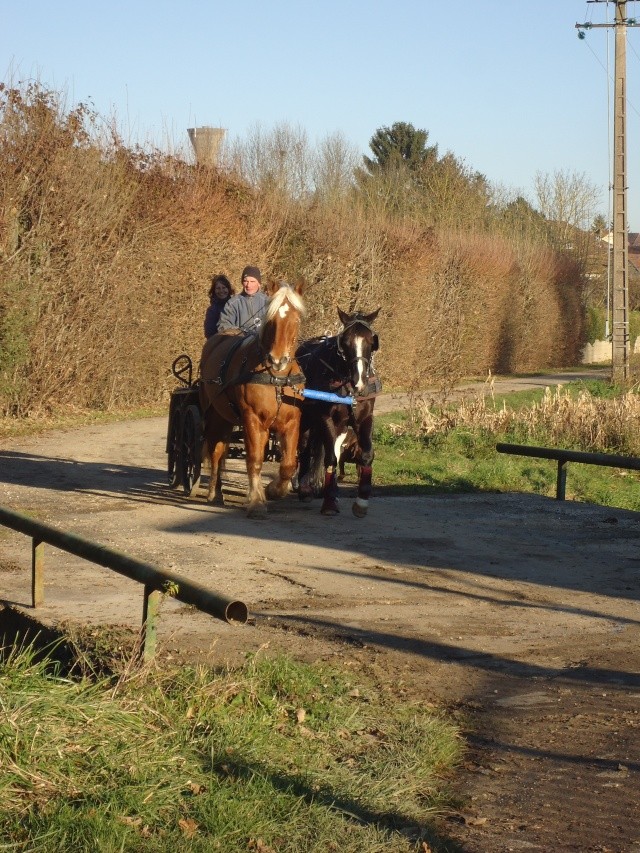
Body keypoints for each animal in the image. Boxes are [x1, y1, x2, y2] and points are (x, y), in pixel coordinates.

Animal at [200, 282, 308, 516]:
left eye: (296, 320)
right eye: (271, 319)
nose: (278, 359)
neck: (275, 378)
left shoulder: (292, 422)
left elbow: (288, 464)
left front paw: (273, 490)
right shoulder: (253, 419)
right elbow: (255, 459)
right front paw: (257, 500)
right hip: (215, 415)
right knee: (216, 451)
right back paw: (215, 491)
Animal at [296, 308, 380, 516]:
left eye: (371, 342)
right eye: (346, 342)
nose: (359, 381)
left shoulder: (364, 418)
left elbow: (367, 454)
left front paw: (361, 501)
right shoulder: (326, 418)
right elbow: (330, 459)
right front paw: (329, 503)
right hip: (306, 418)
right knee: (305, 447)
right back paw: (304, 488)